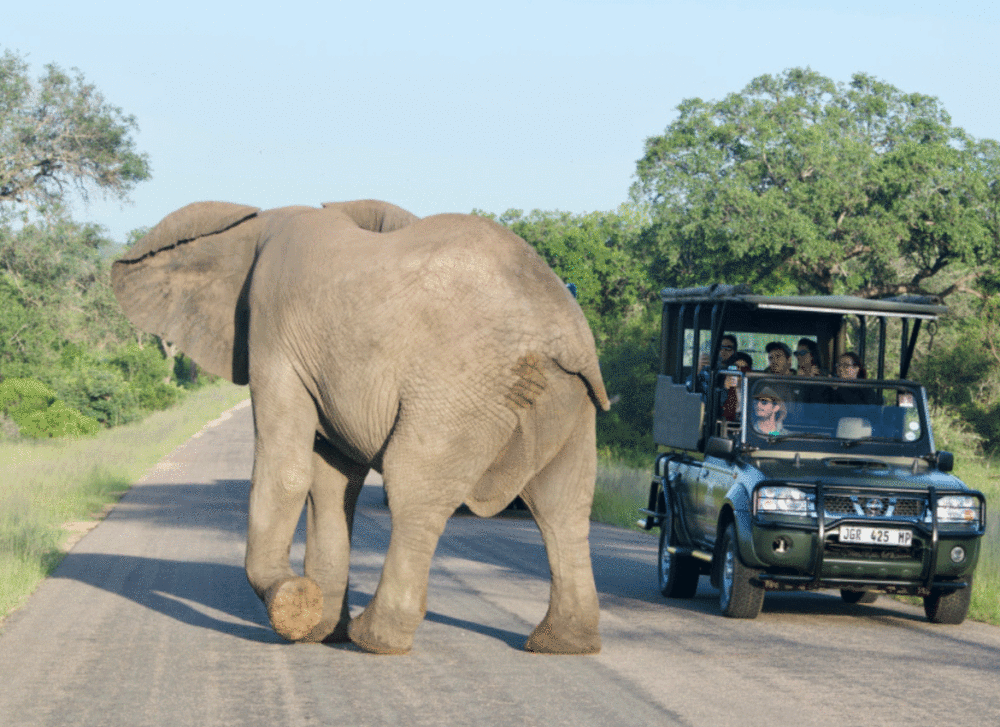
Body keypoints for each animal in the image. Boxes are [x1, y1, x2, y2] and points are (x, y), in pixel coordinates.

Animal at [109, 199, 608, 656]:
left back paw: (375, 640)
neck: (258, 221)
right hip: (570, 399)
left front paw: (296, 608)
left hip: (459, 389)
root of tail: (561, 332)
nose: (298, 595)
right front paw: (321, 631)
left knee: (415, 487)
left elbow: (288, 471)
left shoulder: (275, 335)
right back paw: (560, 644)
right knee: (561, 505)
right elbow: (332, 483)